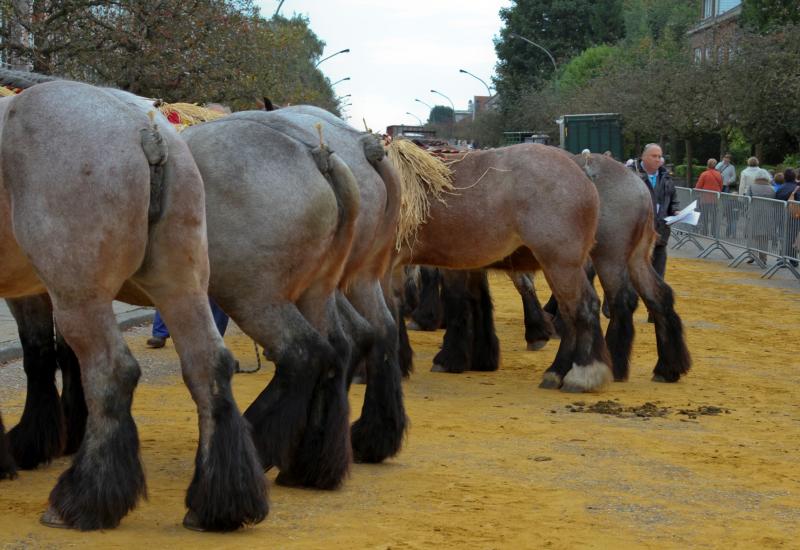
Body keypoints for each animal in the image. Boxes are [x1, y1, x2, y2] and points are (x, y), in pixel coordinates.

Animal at [0, 75, 268, 532]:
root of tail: (148, 129)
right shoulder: (29, 289)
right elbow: (40, 356)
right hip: (179, 282)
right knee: (208, 364)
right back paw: (218, 504)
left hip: (80, 294)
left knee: (112, 371)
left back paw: (83, 499)